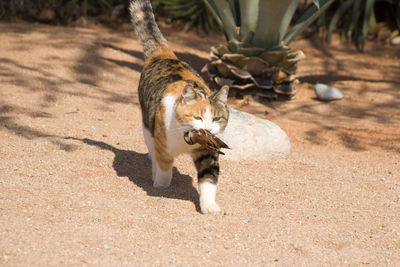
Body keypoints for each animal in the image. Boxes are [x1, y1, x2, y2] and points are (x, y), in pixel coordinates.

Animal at [128, 0, 228, 214]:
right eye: (198, 117)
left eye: (216, 118)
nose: (208, 130)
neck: (186, 139)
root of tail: (164, 54)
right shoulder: (163, 146)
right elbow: (164, 169)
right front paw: (160, 186)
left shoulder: (208, 152)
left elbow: (209, 179)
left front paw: (209, 206)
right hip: (147, 127)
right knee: (152, 152)